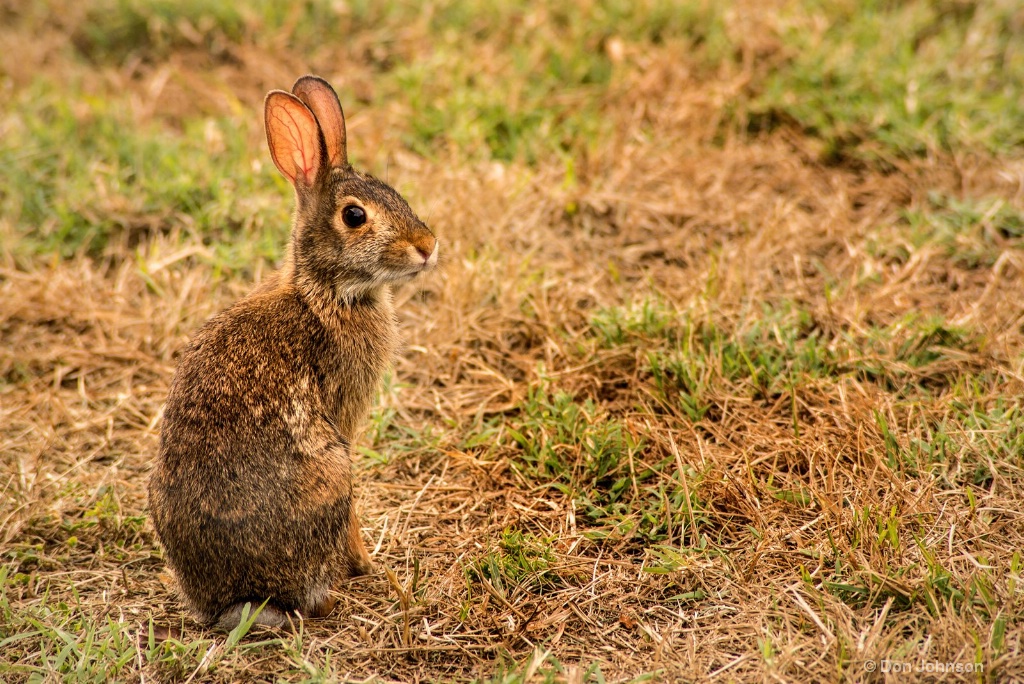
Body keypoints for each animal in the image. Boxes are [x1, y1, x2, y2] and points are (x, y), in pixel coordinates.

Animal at [148, 74, 436, 630]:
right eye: (354, 216)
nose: (428, 246)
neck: (324, 293)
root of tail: (240, 598)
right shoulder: (343, 417)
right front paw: (367, 565)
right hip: (331, 469)